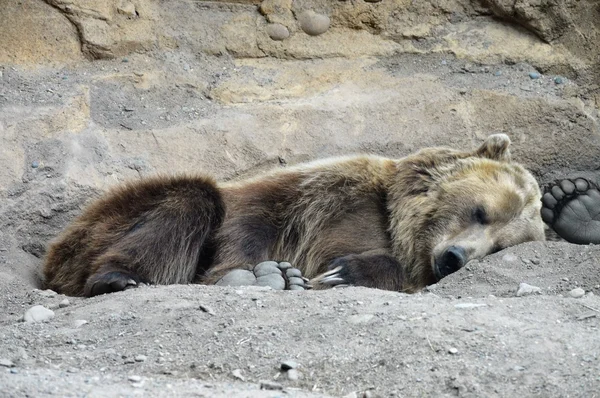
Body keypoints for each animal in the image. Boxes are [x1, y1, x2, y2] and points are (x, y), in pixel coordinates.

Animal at [42, 134, 548, 296]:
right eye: (481, 211)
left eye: (500, 246)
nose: (455, 259)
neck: (394, 219)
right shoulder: (328, 190)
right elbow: (251, 221)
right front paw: (247, 272)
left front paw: (339, 272)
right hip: (102, 219)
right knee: (189, 198)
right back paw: (118, 278)